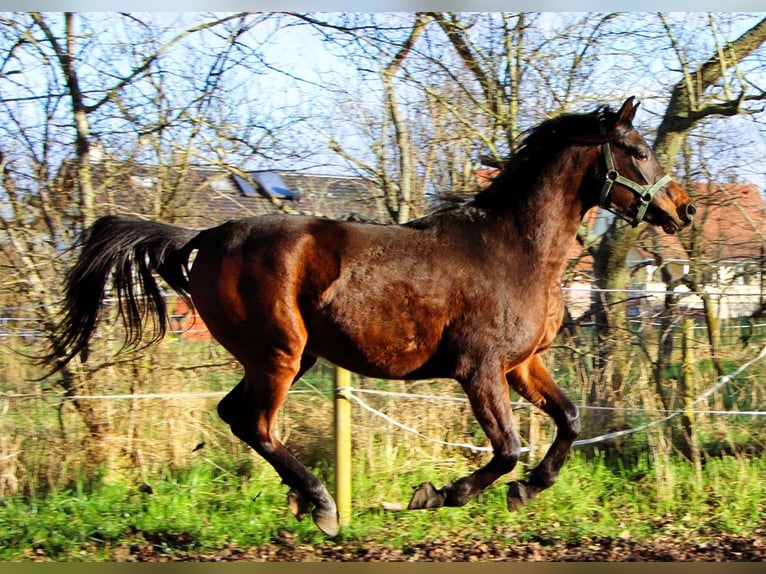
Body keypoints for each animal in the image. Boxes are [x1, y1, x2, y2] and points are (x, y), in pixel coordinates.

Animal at [46, 97, 696, 536]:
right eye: (639, 152)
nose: (684, 210)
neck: (518, 248)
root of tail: (206, 236)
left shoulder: (522, 365)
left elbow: (569, 420)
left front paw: (527, 492)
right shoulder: (480, 370)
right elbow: (508, 447)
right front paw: (437, 494)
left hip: (283, 358)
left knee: (236, 416)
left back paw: (304, 500)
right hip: (279, 355)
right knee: (255, 423)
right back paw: (324, 506)